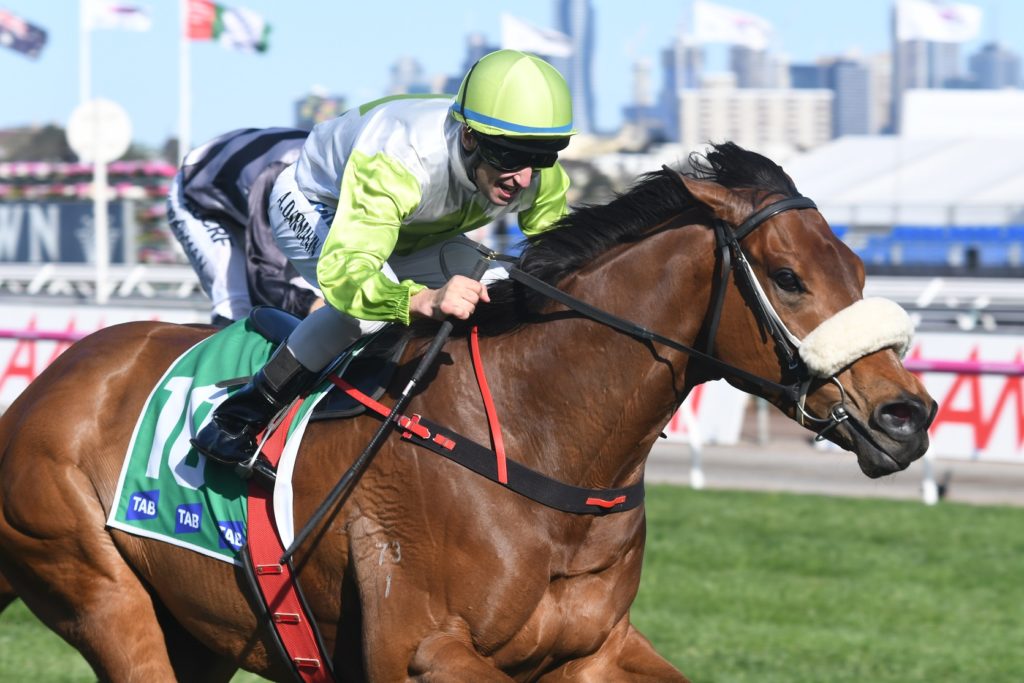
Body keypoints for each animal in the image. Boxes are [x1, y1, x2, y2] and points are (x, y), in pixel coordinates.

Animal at [0, 142, 935, 681]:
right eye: (787, 276)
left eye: (857, 266)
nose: (908, 415)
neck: (539, 437)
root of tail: (38, 392)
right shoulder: (421, 649)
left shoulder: (592, 650)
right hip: (99, 588)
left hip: (196, 633)